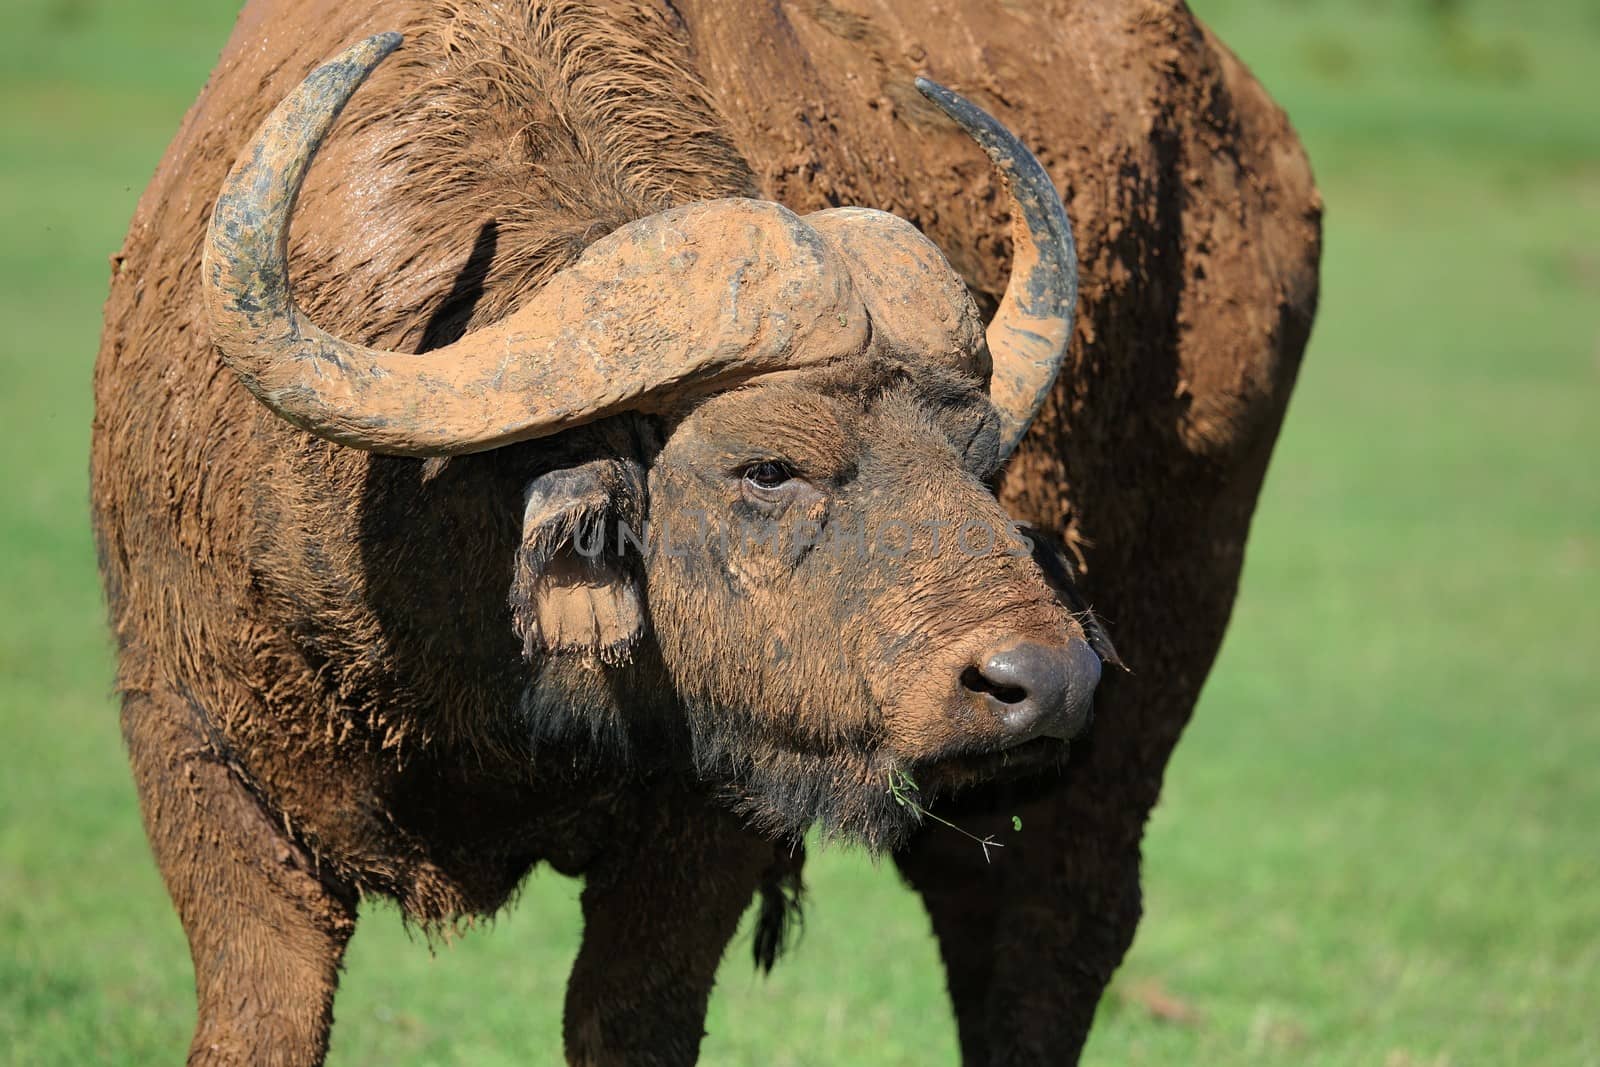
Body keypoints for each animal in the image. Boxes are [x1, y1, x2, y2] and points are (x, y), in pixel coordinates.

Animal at [93, 2, 1318, 1067]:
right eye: (767, 466)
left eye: (975, 453)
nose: (1047, 676)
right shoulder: (192, 752)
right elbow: (261, 1017)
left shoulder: (714, 813)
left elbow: (627, 1016)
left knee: (1052, 927)